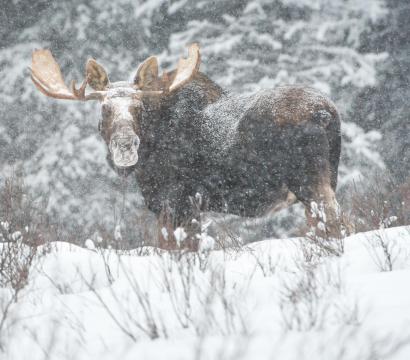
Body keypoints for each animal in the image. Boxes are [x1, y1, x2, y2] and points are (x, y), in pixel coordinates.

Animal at [30, 43, 342, 249]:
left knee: (334, 221)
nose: (125, 145)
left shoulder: (173, 201)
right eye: (105, 108)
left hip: (308, 182)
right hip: (328, 179)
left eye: (138, 107)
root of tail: (326, 111)